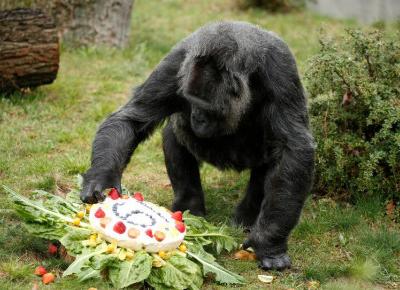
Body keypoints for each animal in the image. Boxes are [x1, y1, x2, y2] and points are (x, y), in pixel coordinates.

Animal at [80, 21, 316, 270]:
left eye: (206, 108)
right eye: (191, 102)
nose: (197, 118)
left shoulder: (280, 67)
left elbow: (293, 148)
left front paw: (269, 242)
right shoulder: (175, 64)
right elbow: (131, 119)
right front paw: (101, 179)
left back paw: (246, 217)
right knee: (175, 135)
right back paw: (189, 208)